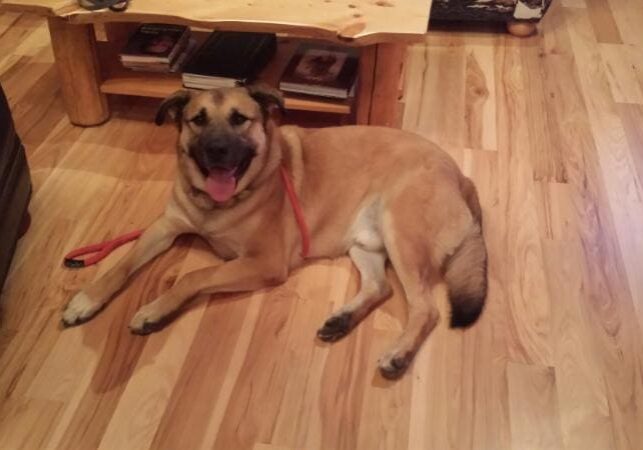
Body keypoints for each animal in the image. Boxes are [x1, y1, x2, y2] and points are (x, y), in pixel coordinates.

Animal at [61, 85, 488, 380]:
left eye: (240, 119)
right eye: (198, 119)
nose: (217, 150)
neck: (217, 205)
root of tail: (460, 174)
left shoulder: (262, 263)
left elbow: (192, 276)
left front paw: (154, 309)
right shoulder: (165, 227)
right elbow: (122, 263)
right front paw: (86, 299)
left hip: (401, 233)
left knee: (426, 309)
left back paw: (399, 354)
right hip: (365, 242)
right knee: (379, 287)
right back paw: (342, 320)